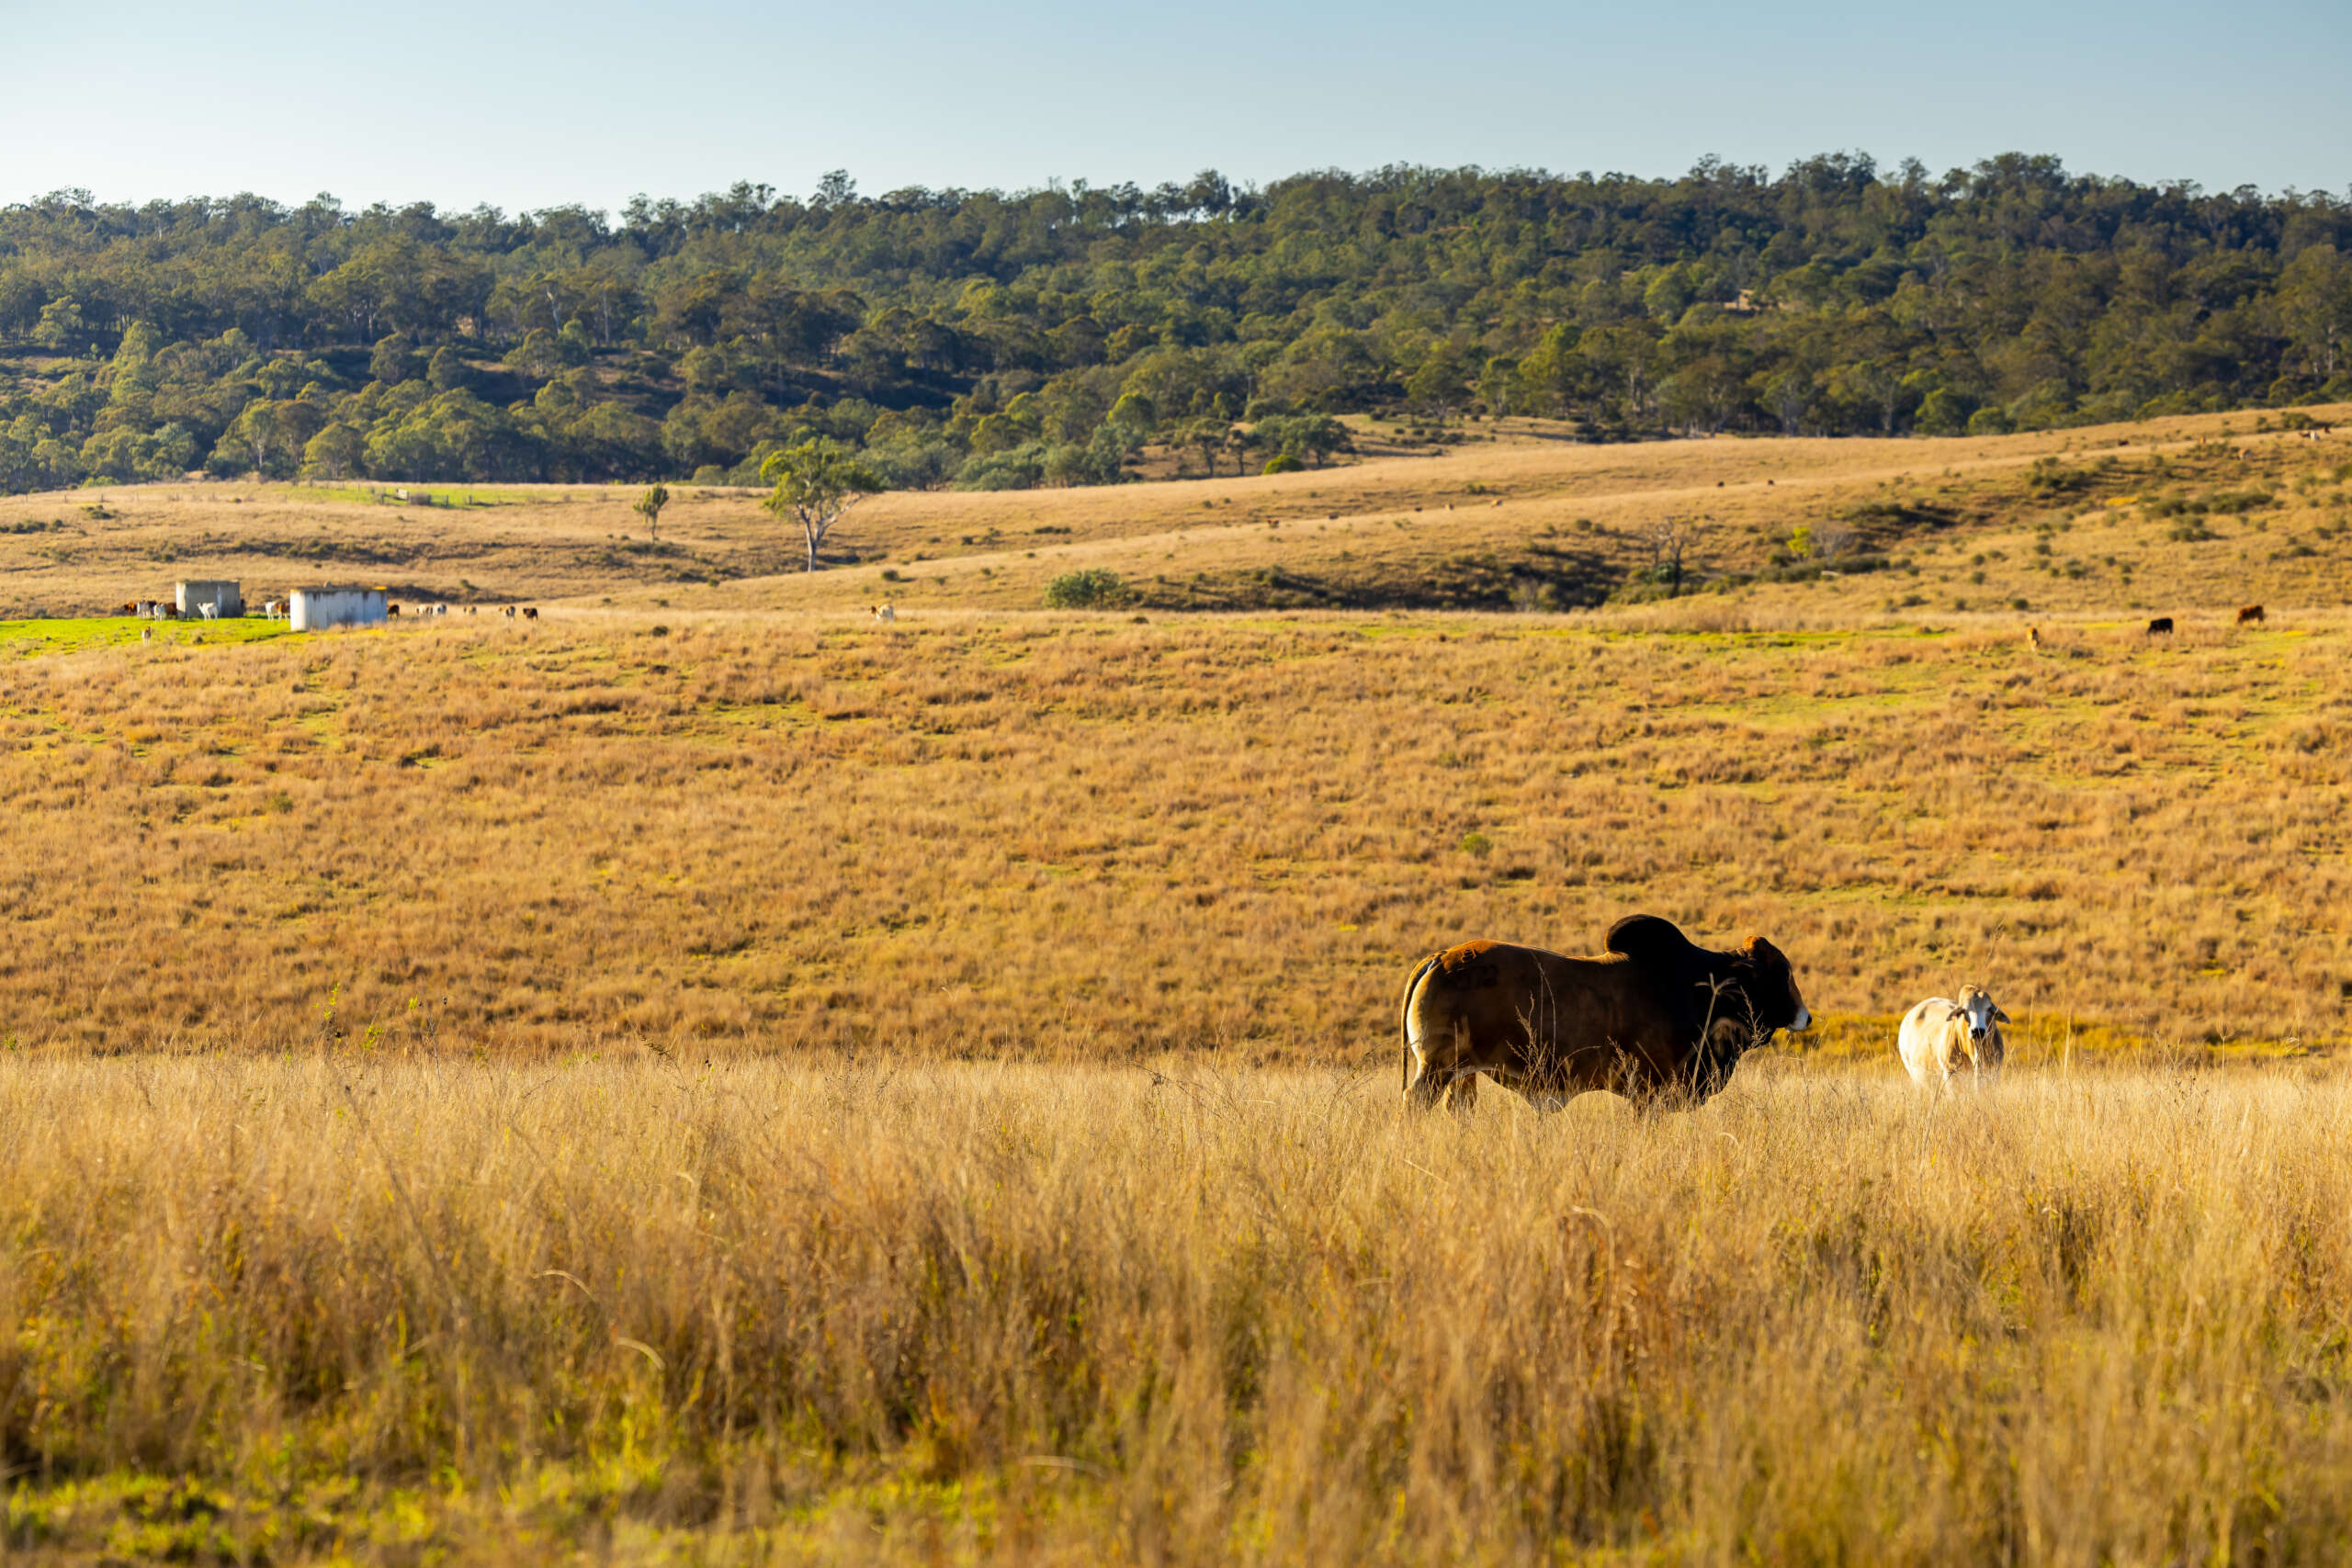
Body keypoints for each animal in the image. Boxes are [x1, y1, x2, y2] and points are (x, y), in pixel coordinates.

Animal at [1400, 914, 1811, 1112]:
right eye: (1781, 973)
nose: (1806, 1017)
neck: (1702, 988)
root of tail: (1440, 958)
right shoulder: (1650, 1094)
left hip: (1462, 1074)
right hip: (1436, 1068)